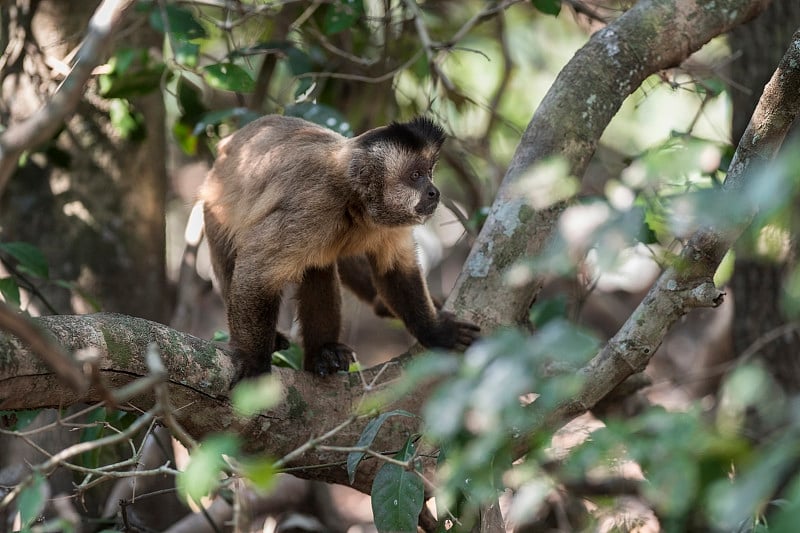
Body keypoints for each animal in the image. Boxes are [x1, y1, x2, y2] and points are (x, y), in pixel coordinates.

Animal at [202, 115, 482, 382]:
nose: (434, 192)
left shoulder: (388, 222)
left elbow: (394, 270)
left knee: (318, 266)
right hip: (214, 209)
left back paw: (323, 353)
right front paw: (253, 363)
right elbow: (257, 273)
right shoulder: (313, 206)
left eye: (429, 172)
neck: (354, 201)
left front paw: (435, 333)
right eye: (415, 175)